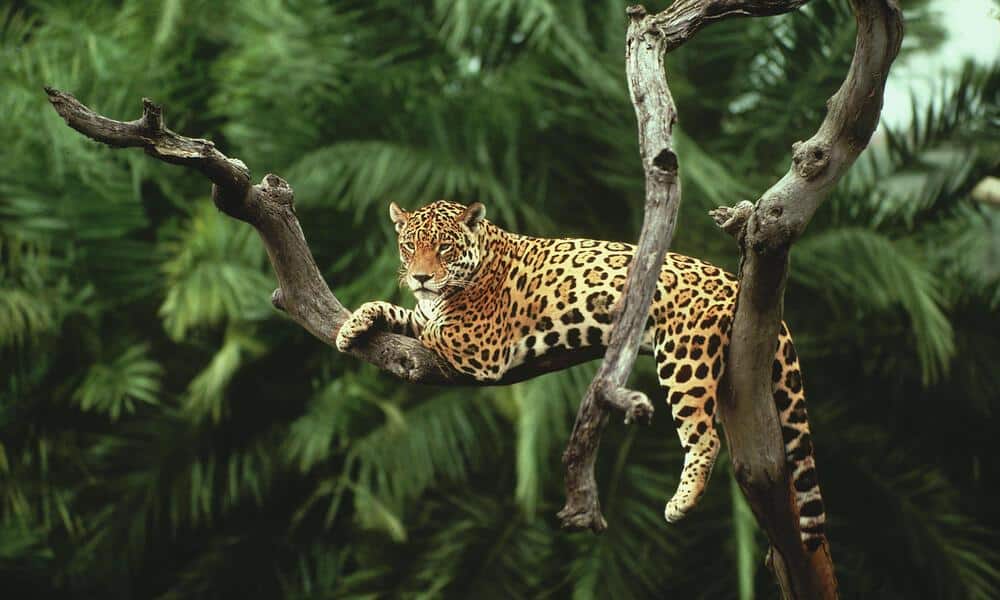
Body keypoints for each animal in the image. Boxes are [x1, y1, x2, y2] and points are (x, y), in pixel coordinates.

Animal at [336, 200, 826, 551]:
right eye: (408, 247)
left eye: (445, 248)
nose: (420, 277)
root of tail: (733, 282)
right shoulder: (430, 313)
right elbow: (401, 311)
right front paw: (352, 325)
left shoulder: (480, 344)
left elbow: (432, 325)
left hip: (683, 357)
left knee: (704, 437)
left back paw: (681, 502)